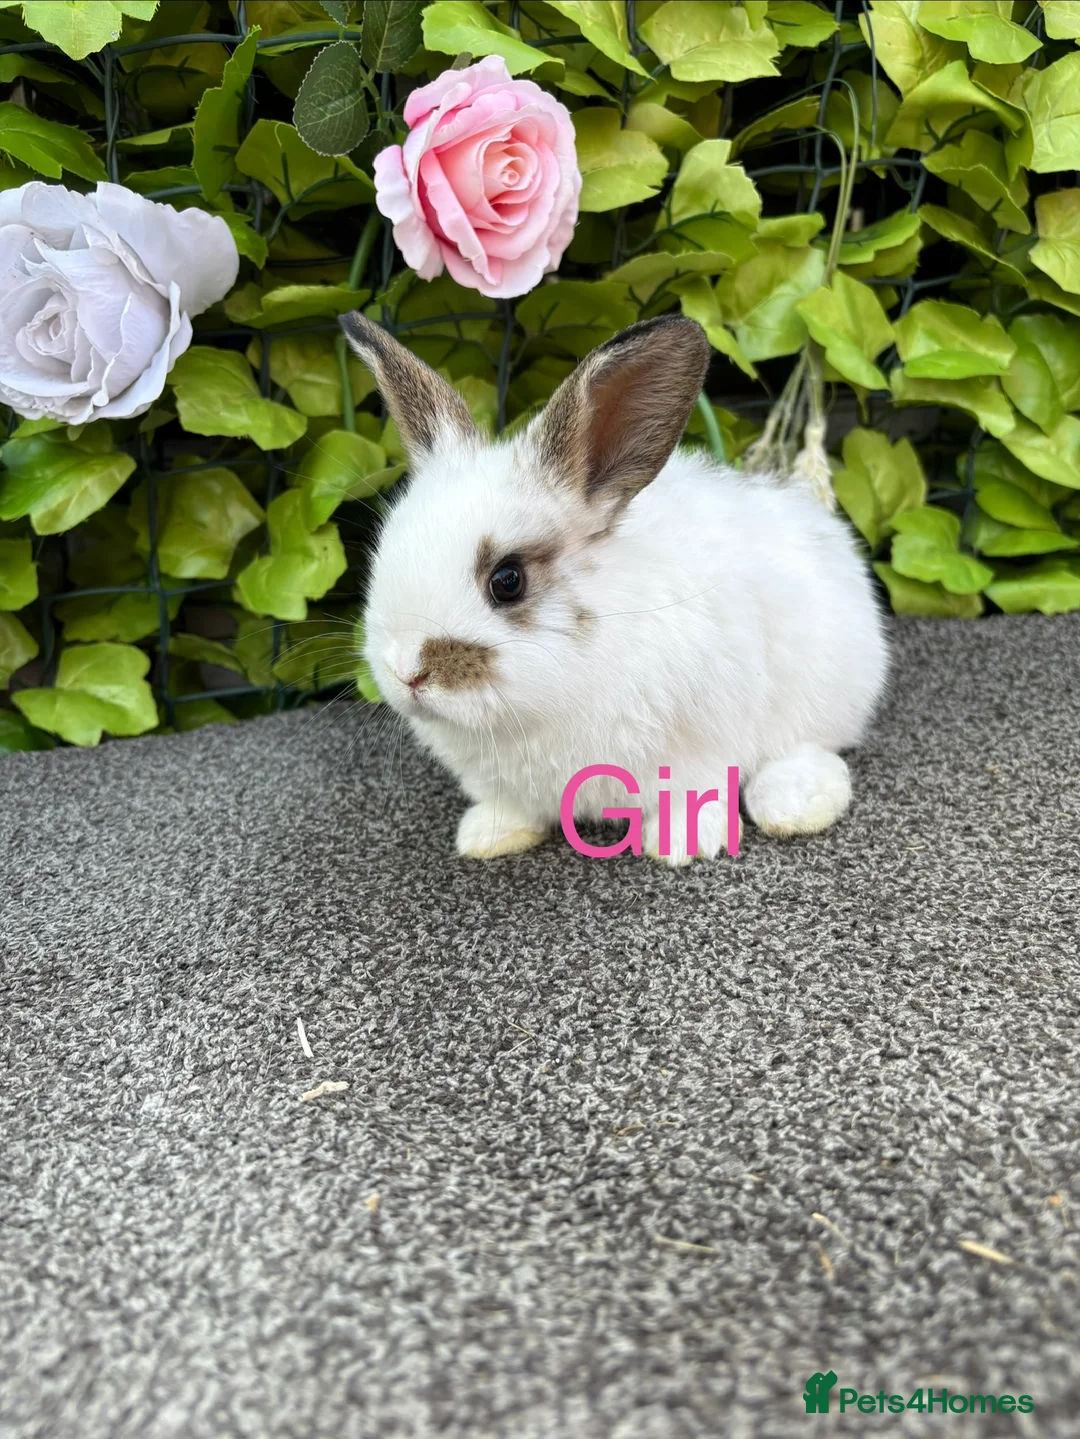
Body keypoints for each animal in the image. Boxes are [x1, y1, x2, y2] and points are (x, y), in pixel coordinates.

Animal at [341, 310, 889, 865]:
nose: (407, 673)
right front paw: (486, 836)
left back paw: (793, 805)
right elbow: (512, 807)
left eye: (508, 581)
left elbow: (697, 792)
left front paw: (679, 845)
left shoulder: (703, 744)